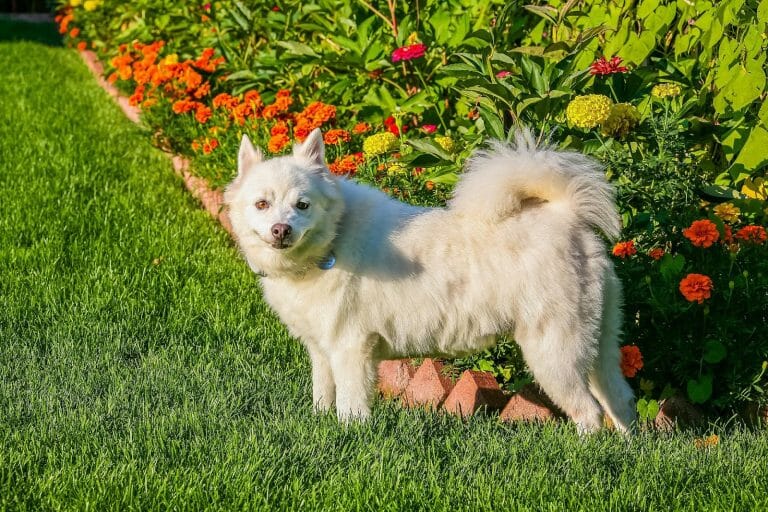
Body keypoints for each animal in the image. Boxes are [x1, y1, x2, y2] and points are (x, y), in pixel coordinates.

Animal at [226, 127, 636, 432]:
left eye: (302, 205)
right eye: (262, 204)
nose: (281, 230)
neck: (334, 238)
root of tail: (567, 215)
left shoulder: (351, 349)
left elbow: (350, 407)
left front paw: (349, 436)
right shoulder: (321, 350)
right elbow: (322, 398)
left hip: (554, 353)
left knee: (590, 413)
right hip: (599, 347)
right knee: (621, 402)